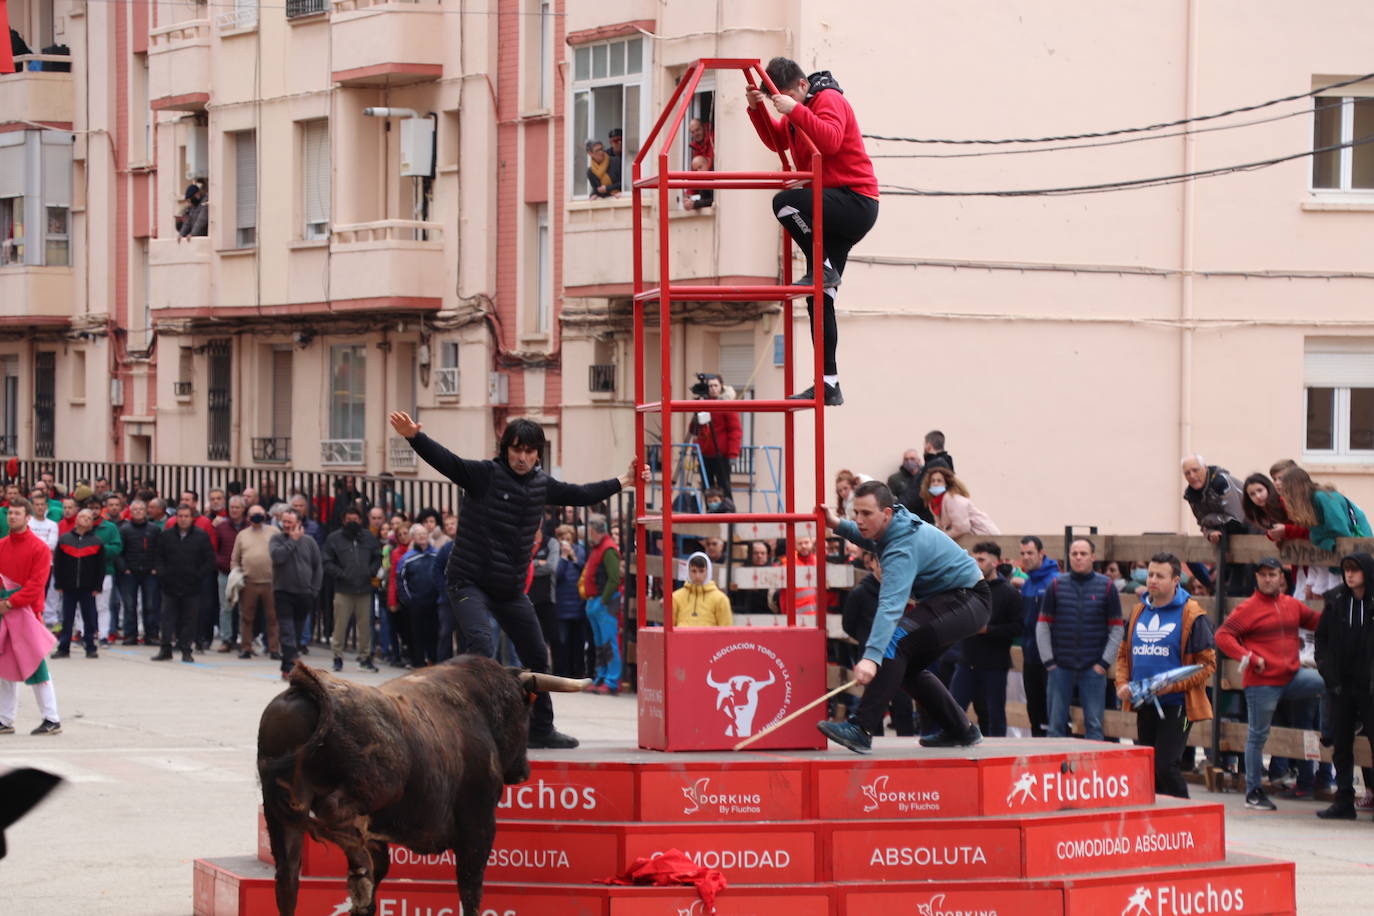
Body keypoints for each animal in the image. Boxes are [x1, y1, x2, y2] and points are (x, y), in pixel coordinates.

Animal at [258, 656, 585, 911]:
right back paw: (358, 869)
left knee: (288, 878)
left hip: (279, 814)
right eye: (525, 713)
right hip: (376, 786)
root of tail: (311, 689)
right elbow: (471, 888)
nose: (523, 772)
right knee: (332, 812)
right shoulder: (479, 825)